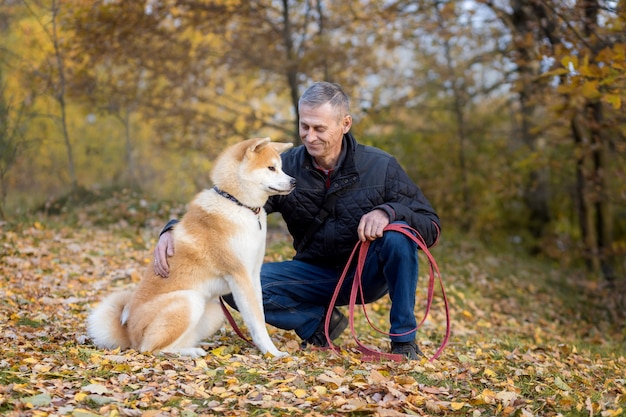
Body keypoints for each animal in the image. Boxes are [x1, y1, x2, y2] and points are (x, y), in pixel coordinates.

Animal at [86, 137, 298, 358]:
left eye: (281, 167)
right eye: (271, 168)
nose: (294, 181)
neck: (237, 204)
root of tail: (128, 335)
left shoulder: (253, 274)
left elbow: (260, 315)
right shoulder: (240, 276)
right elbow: (256, 322)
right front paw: (272, 353)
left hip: (213, 309)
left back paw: (200, 345)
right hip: (189, 301)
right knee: (150, 348)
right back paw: (192, 352)